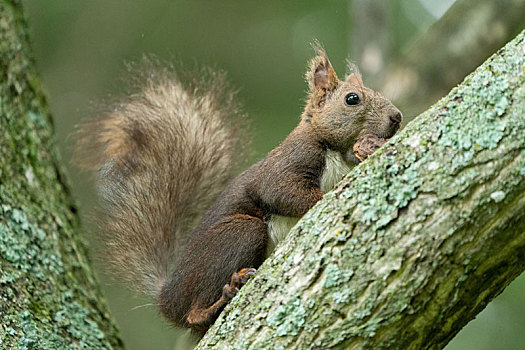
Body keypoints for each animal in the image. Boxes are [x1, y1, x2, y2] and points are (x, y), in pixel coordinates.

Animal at [74, 44, 402, 336]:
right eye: (352, 99)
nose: (397, 117)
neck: (334, 149)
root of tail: (168, 298)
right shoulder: (290, 161)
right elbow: (280, 192)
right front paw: (326, 196)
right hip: (238, 233)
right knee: (195, 314)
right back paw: (225, 294)